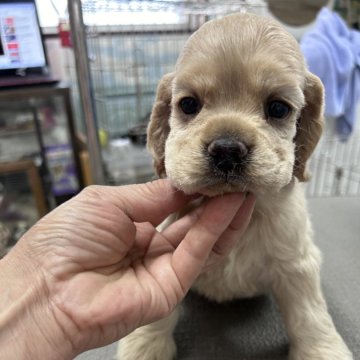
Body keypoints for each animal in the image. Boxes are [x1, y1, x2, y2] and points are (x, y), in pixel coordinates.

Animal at [117, 12, 352, 358]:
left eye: (278, 108)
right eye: (189, 104)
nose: (227, 150)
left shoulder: (296, 263)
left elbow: (310, 314)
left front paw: (322, 351)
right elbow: (155, 311)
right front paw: (144, 347)